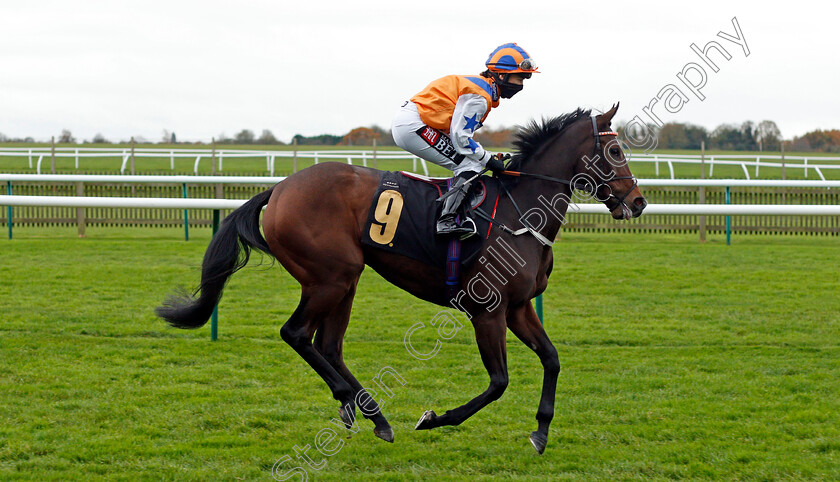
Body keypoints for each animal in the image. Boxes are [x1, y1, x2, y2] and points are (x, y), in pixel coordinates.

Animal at [156, 103, 644, 454]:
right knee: (295, 333)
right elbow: (499, 382)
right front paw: (434, 418)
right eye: (616, 151)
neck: (518, 211)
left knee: (327, 345)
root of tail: (279, 188)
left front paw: (541, 432)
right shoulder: (487, 310)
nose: (638, 202)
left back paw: (369, 414)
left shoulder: (519, 307)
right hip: (331, 278)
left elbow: (553, 359)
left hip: (345, 280)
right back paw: (361, 406)